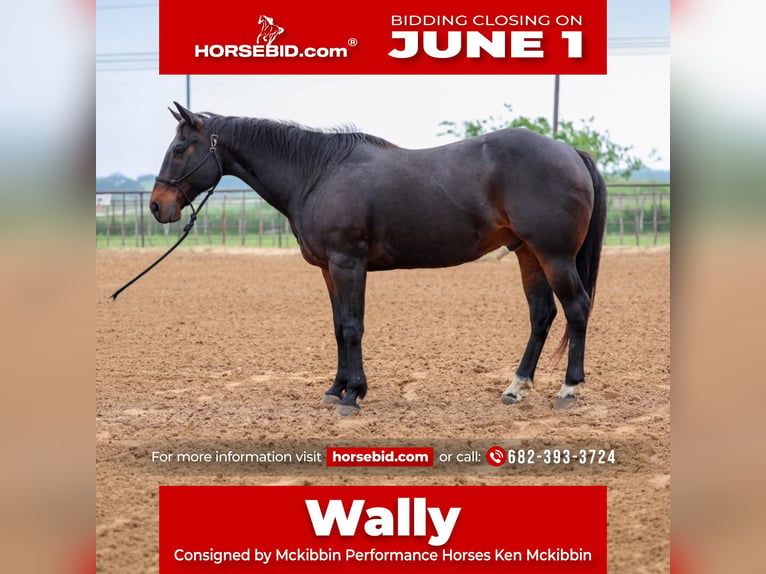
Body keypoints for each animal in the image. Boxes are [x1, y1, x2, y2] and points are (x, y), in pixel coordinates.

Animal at [150, 102, 607, 416]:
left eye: (180, 147)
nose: (157, 206)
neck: (319, 173)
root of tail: (570, 151)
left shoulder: (347, 264)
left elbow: (353, 327)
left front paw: (352, 395)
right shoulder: (329, 270)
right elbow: (339, 328)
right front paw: (336, 389)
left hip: (554, 255)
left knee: (576, 308)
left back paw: (568, 389)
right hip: (528, 253)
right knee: (542, 314)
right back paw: (516, 386)